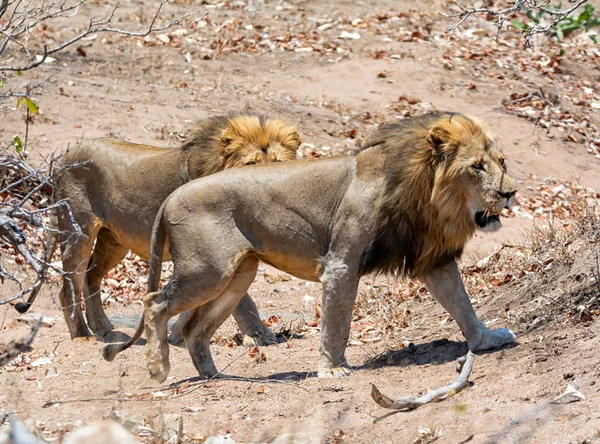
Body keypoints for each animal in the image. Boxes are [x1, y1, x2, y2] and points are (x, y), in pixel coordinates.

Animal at [21, 114, 302, 340]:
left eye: (277, 161)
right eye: (251, 163)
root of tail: (63, 161)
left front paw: (177, 336)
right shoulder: (216, 251)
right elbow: (243, 302)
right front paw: (264, 336)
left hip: (113, 241)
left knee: (92, 276)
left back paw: (102, 327)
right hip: (78, 230)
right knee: (70, 287)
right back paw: (82, 335)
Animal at [103, 111, 516, 382]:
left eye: (502, 162)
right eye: (476, 167)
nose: (510, 193)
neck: (427, 198)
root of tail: (171, 197)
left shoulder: (434, 259)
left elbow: (462, 303)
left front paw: (486, 339)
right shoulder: (342, 263)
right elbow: (337, 321)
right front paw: (332, 369)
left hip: (236, 275)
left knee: (195, 329)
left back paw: (214, 376)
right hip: (208, 271)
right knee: (155, 303)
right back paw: (159, 369)